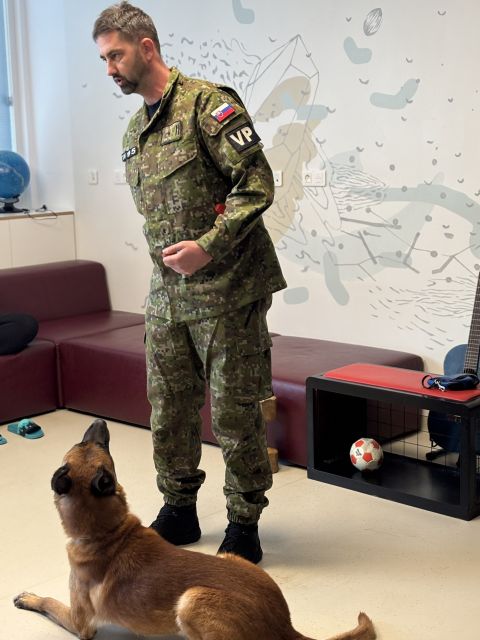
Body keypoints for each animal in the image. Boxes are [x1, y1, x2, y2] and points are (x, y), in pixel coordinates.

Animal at [14, 419, 376, 640]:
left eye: (89, 444)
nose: (101, 422)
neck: (108, 531)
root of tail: (284, 625)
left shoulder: (80, 622)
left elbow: (49, 602)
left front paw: (30, 597)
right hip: (231, 558)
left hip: (191, 599)